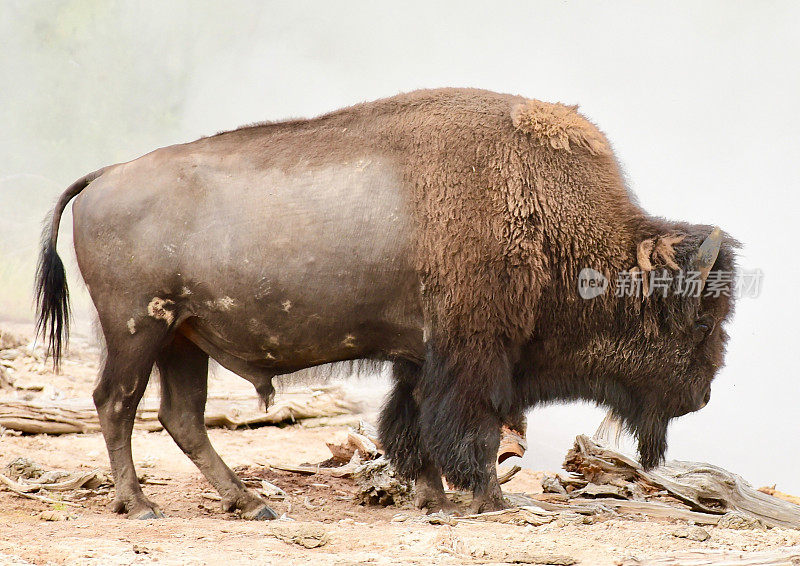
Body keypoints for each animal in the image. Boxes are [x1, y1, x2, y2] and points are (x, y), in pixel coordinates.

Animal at [37, 89, 736, 520]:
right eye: (700, 319)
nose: (702, 394)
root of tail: (103, 177)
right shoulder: (473, 356)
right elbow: (469, 430)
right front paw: (491, 502)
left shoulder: (420, 357)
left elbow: (411, 425)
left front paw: (435, 500)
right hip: (138, 329)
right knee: (116, 404)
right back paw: (140, 505)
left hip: (183, 339)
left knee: (180, 417)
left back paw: (252, 503)